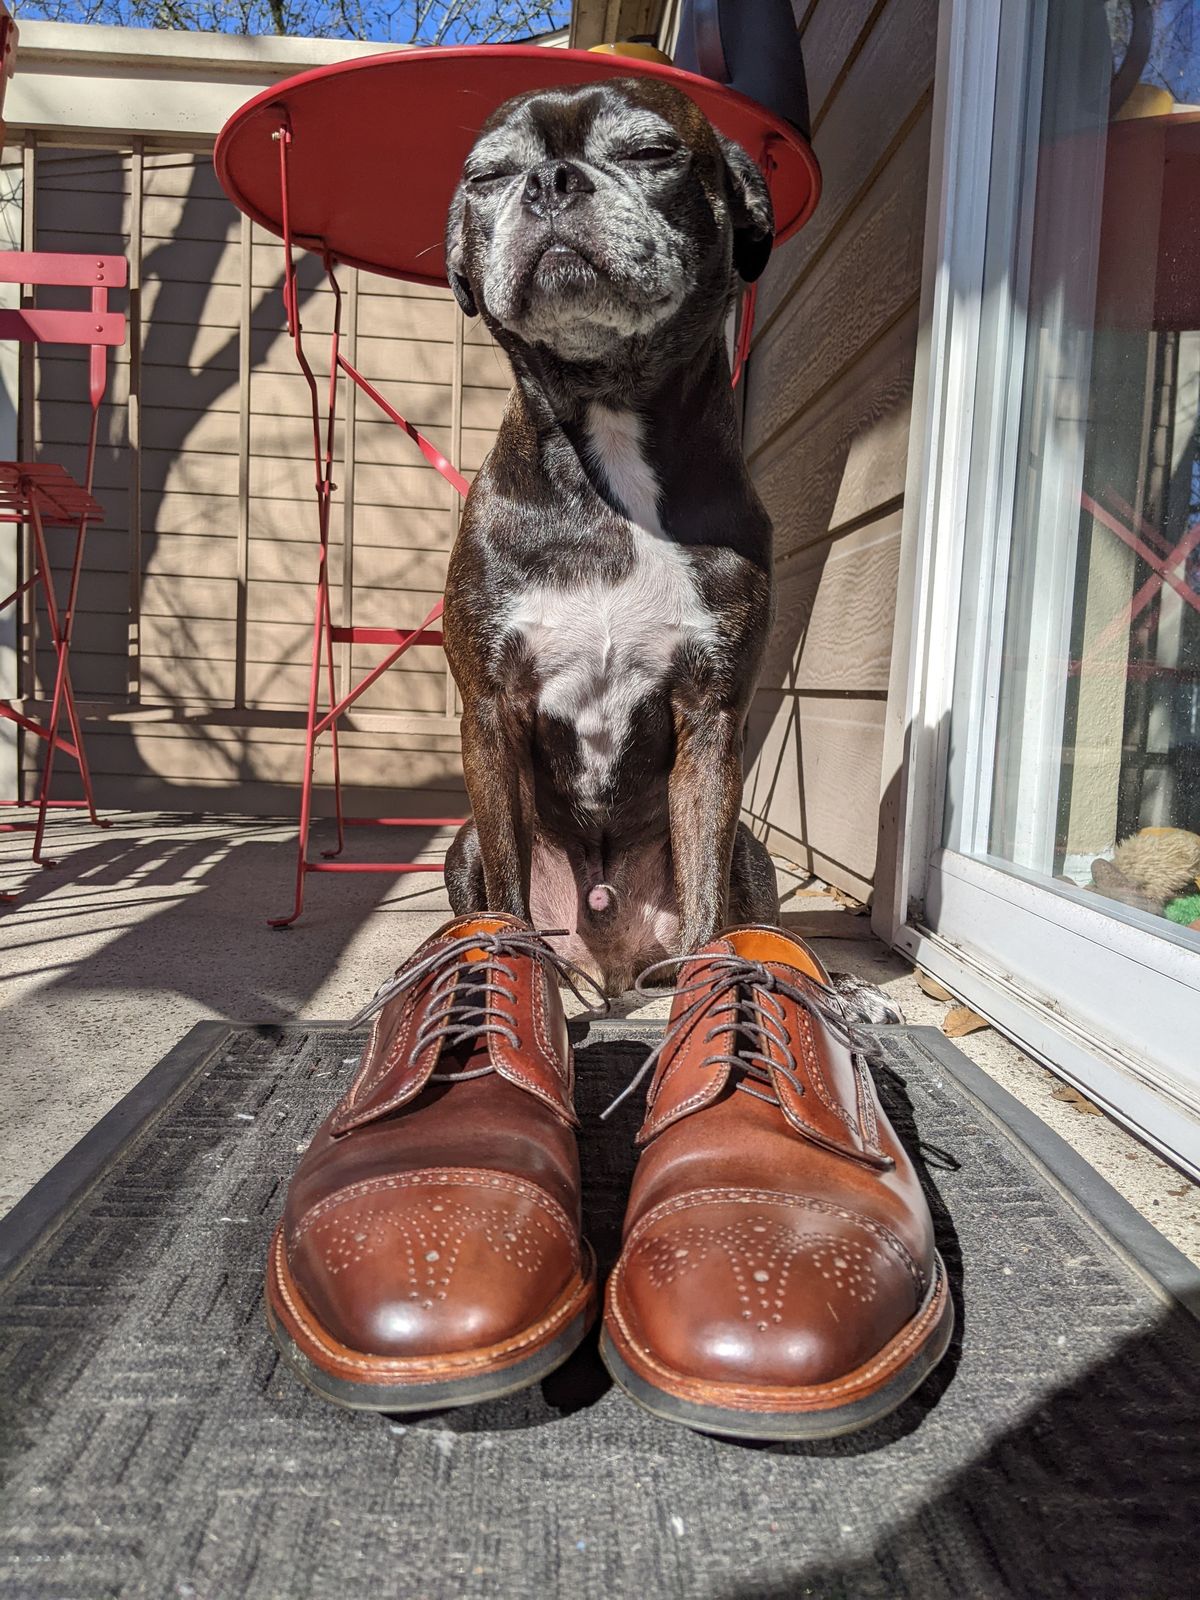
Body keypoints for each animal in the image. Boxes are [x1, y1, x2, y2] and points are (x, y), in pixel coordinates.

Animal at [441, 72, 864, 998]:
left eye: (650, 152)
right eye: (488, 176)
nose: (550, 181)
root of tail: (615, 967)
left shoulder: (710, 717)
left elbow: (710, 904)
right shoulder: (489, 710)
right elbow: (506, 894)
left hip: (755, 855)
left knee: (756, 918)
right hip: (461, 848)